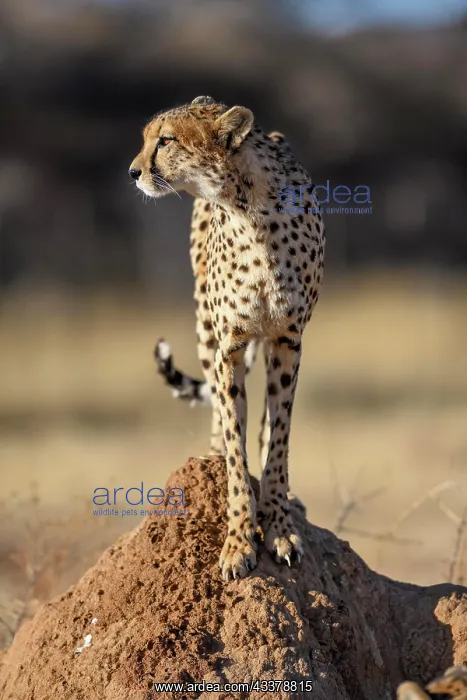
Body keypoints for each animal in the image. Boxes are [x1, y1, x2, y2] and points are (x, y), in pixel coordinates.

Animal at [129, 96, 325, 580]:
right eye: (147, 139)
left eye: (166, 140)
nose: (133, 171)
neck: (248, 209)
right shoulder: (229, 346)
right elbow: (236, 445)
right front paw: (238, 541)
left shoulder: (288, 341)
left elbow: (278, 437)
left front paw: (280, 526)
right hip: (204, 329)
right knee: (219, 414)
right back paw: (213, 459)